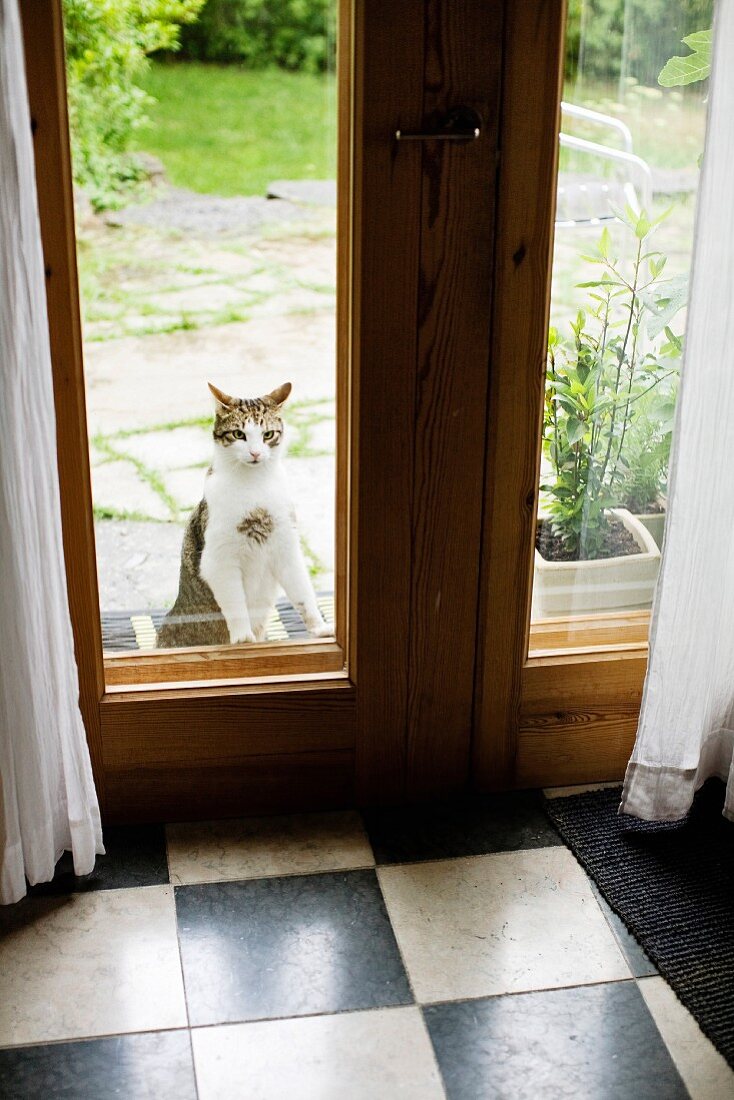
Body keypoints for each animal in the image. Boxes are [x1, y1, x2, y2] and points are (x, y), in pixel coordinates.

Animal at [156, 382, 332, 646]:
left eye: (268, 435)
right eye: (239, 434)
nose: (256, 453)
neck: (254, 485)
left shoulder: (287, 550)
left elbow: (304, 595)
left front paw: (320, 628)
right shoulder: (219, 561)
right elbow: (236, 604)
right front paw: (243, 638)